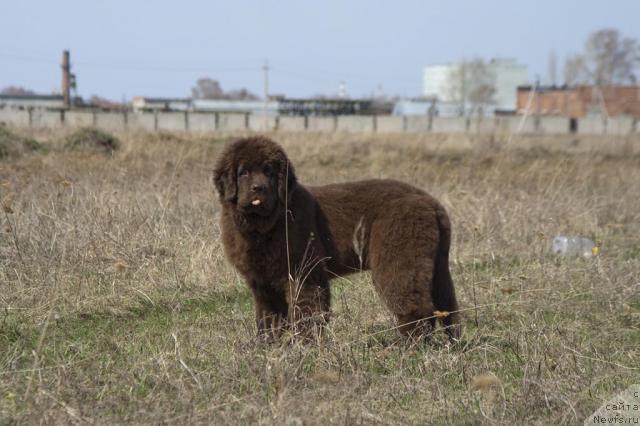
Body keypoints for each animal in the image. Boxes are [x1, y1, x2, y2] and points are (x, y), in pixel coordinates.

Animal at [215, 138, 460, 342]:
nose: (259, 188)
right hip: (436, 264)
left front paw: (305, 346)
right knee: (445, 305)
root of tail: (430, 202)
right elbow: (269, 317)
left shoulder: (304, 272)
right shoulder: (263, 282)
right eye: (243, 172)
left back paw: (410, 346)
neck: (266, 225)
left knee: (415, 303)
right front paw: (266, 346)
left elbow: (308, 311)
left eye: (268, 171)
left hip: (400, 256)